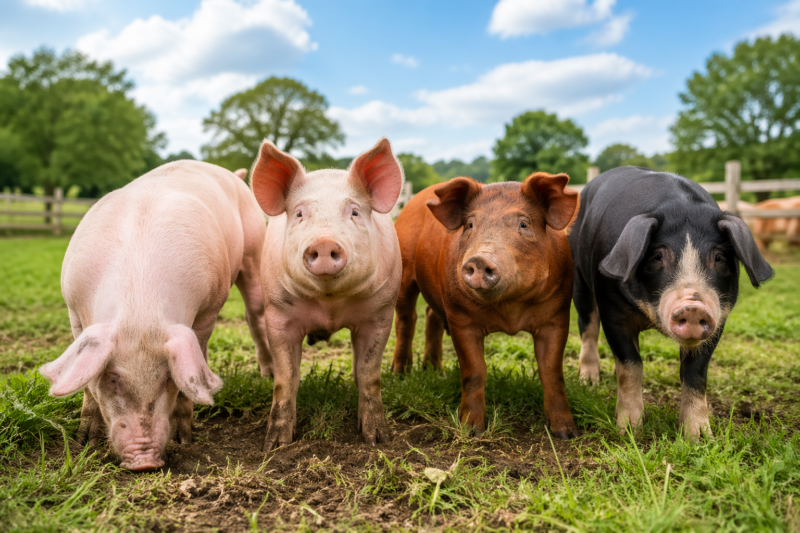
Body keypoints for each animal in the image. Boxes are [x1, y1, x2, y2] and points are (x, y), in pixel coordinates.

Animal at [39, 161, 271, 471]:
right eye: (112, 378)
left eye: (168, 378)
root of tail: (234, 175)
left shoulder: (209, 310)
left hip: (255, 250)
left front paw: (184, 441)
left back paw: (268, 375)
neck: (140, 304)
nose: (145, 462)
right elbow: (86, 382)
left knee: (255, 313)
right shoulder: (74, 310)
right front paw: (84, 442)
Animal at [250, 138, 403, 450]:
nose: (323, 242)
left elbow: (370, 374)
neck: (330, 305)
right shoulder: (278, 313)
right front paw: (275, 445)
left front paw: (377, 439)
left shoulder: (381, 313)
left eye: (354, 212)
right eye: (299, 213)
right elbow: (286, 377)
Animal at [392, 173, 581, 439]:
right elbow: (474, 371)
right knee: (406, 321)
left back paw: (434, 371)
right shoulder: (460, 318)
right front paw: (472, 431)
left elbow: (552, 371)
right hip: (404, 271)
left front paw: (566, 433)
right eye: (470, 225)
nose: (479, 259)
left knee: (431, 315)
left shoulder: (557, 315)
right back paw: (399, 375)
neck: (510, 311)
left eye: (524, 224)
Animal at [570, 166, 773, 439]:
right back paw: (589, 381)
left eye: (719, 257)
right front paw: (629, 429)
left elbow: (695, 373)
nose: (693, 307)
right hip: (579, 279)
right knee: (588, 327)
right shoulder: (611, 309)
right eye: (657, 256)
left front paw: (700, 437)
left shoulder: (719, 318)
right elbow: (631, 364)